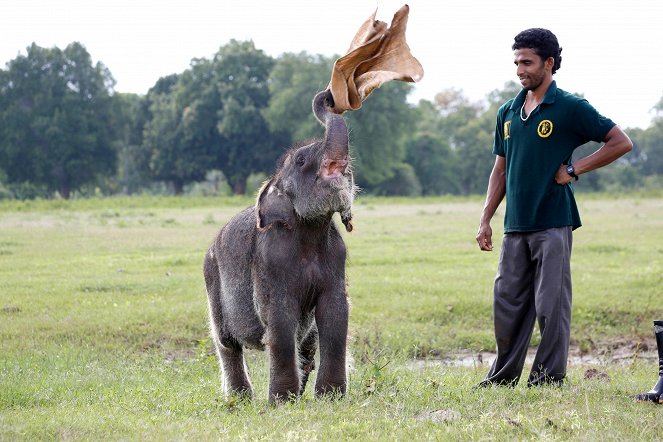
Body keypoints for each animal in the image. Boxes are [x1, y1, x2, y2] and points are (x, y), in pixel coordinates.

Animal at [204, 88, 356, 402]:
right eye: (300, 160)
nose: (327, 96)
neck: (310, 231)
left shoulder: (337, 258)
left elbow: (335, 314)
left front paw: (330, 398)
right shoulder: (270, 264)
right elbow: (281, 320)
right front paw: (282, 402)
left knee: (308, 344)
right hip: (212, 283)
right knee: (226, 343)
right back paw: (240, 399)